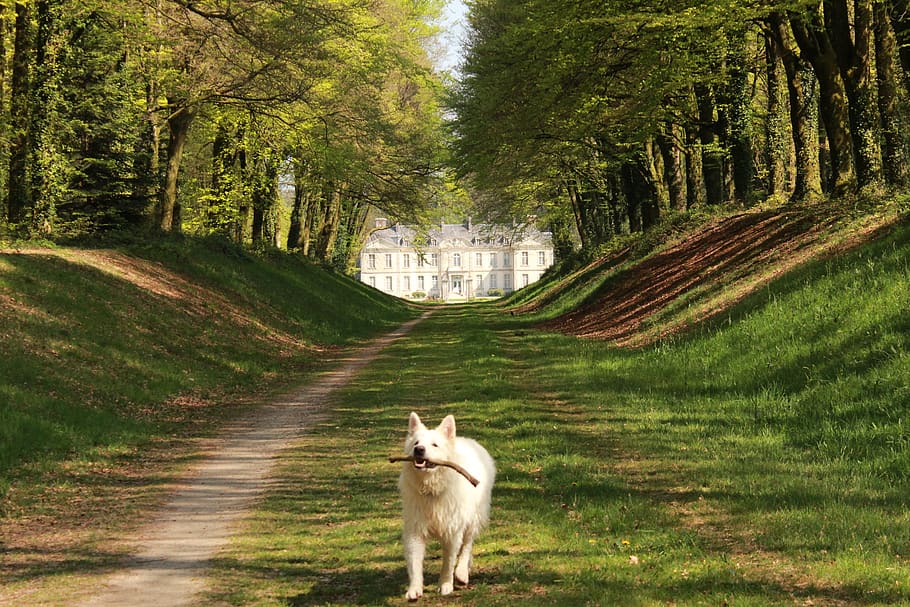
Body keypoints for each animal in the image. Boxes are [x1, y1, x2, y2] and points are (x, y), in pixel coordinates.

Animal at [400, 410, 498, 600]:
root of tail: (469, 441)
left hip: (473, 519)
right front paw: (414, 589)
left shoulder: (453, 530)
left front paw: (445, 584)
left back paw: (461, 573)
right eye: (416, 443)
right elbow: (415, 563)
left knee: (467, 546)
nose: (419, 450)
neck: (432, 489)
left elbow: (449, 561)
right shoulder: (415, 530)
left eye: (434, 445)